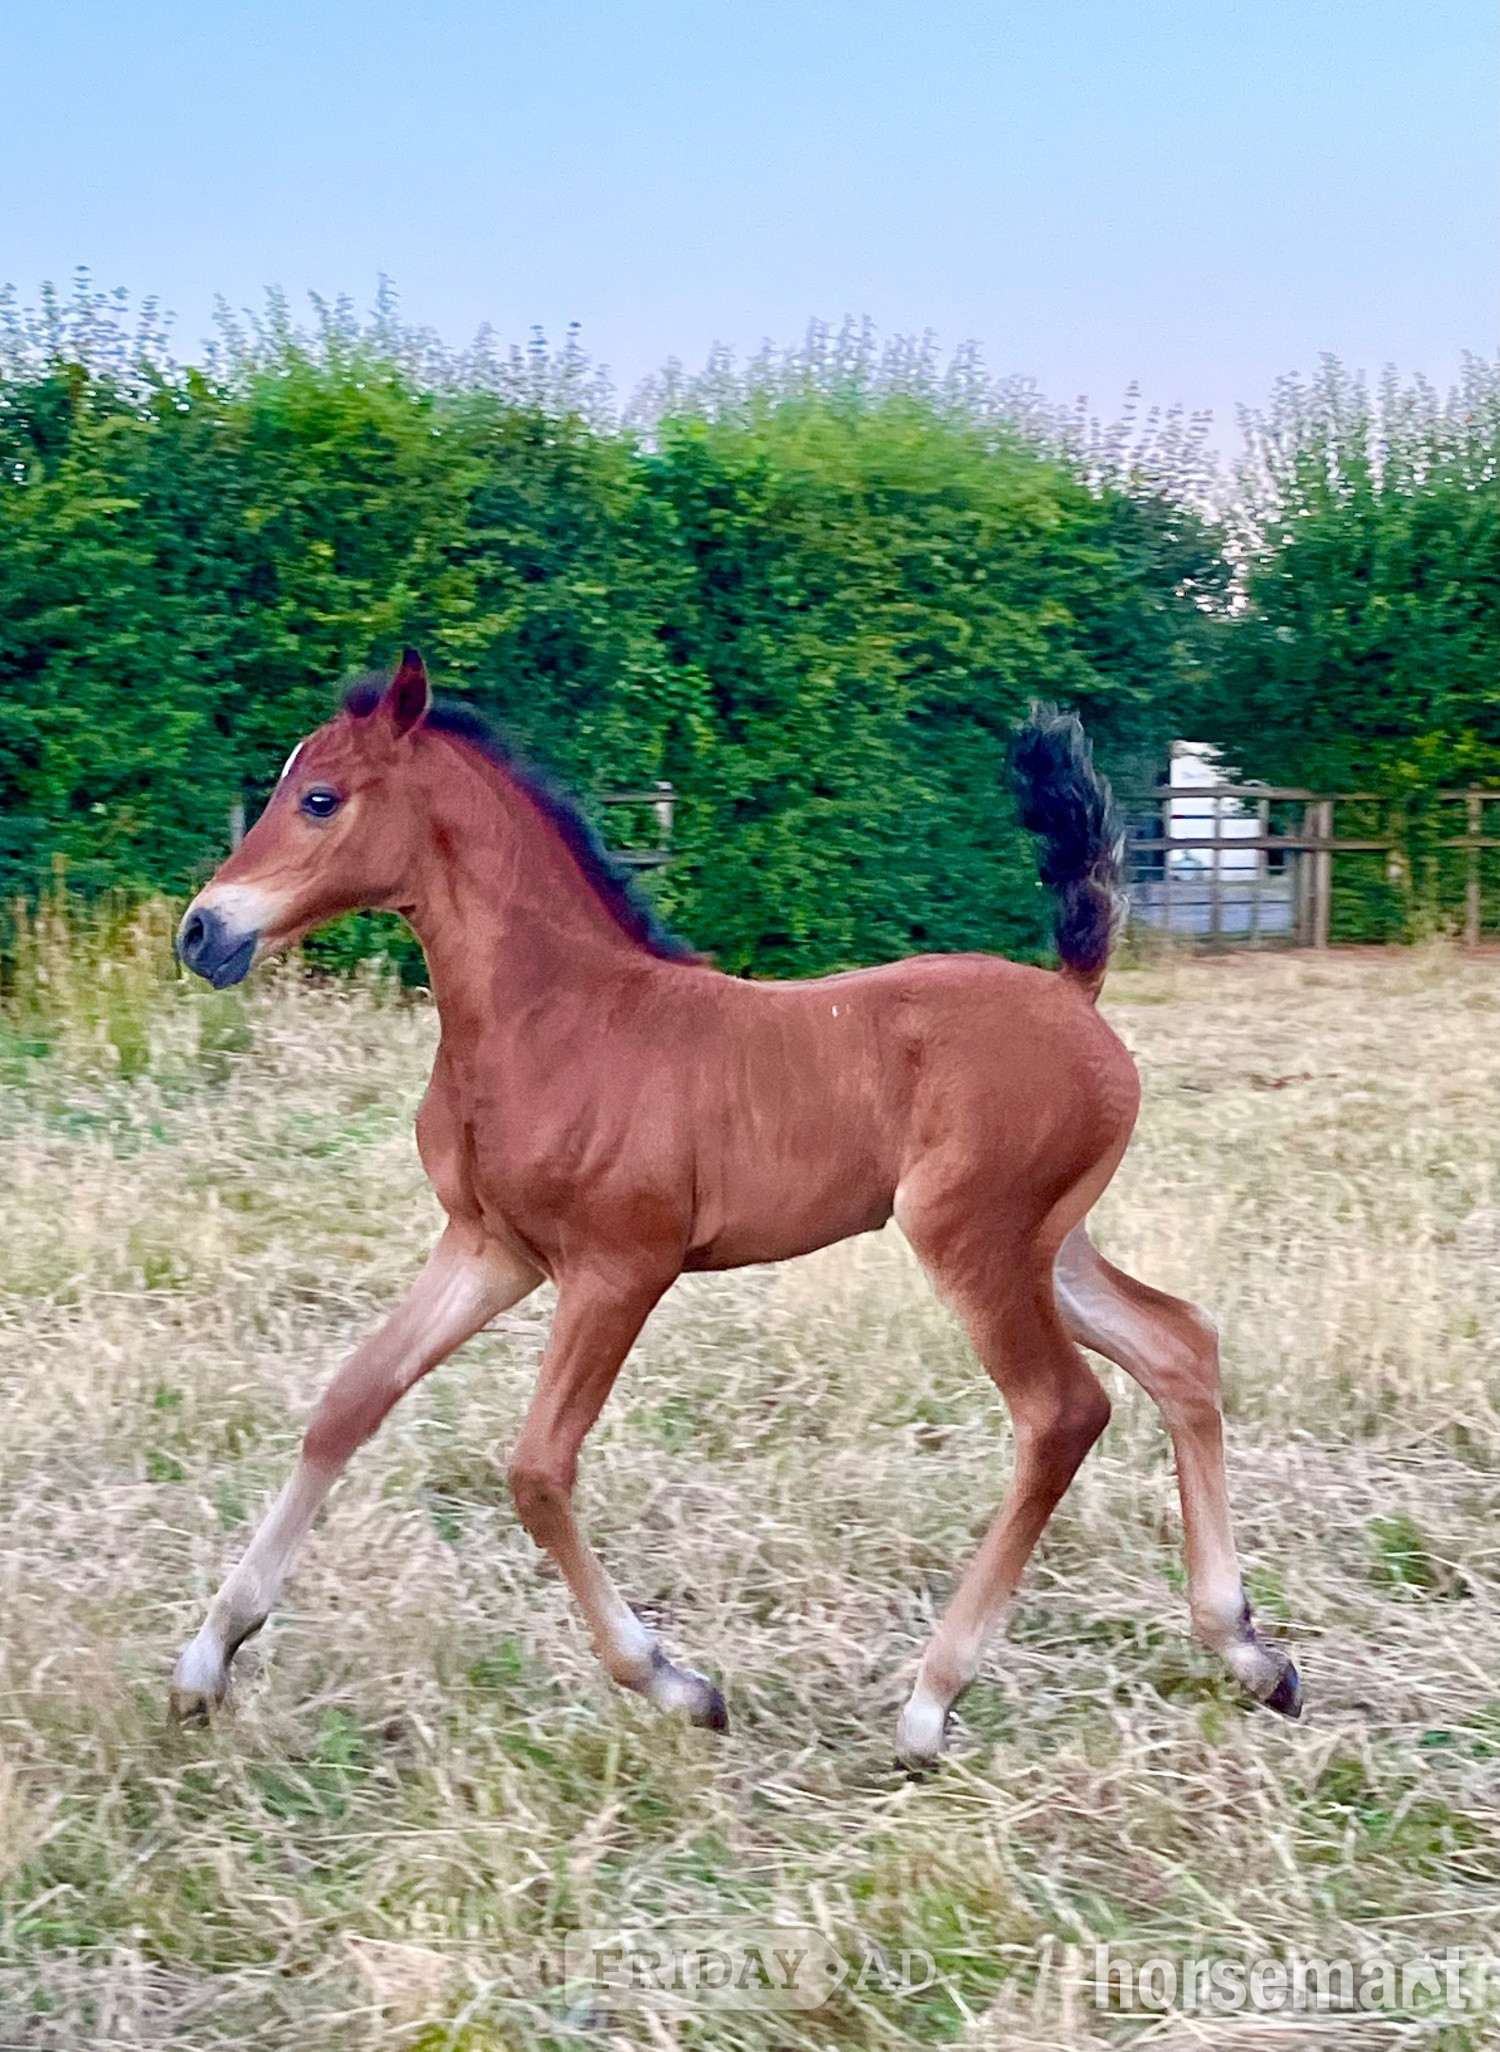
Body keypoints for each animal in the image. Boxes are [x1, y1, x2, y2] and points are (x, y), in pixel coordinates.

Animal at [170, 651, 1300, 1762]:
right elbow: (349, 1403)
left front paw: (675, 1685)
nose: (201, 932)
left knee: (1062, 1410)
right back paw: (1249, 1652)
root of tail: (1074, 992)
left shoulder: (620, 1269)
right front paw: (208, 1659)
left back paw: (930, 1705)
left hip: (971, 1240)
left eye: (320, 798)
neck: (551, 1017)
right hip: (1046, 1245)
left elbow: (537, 1471)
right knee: (1177, 1345)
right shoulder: (489, 1249)